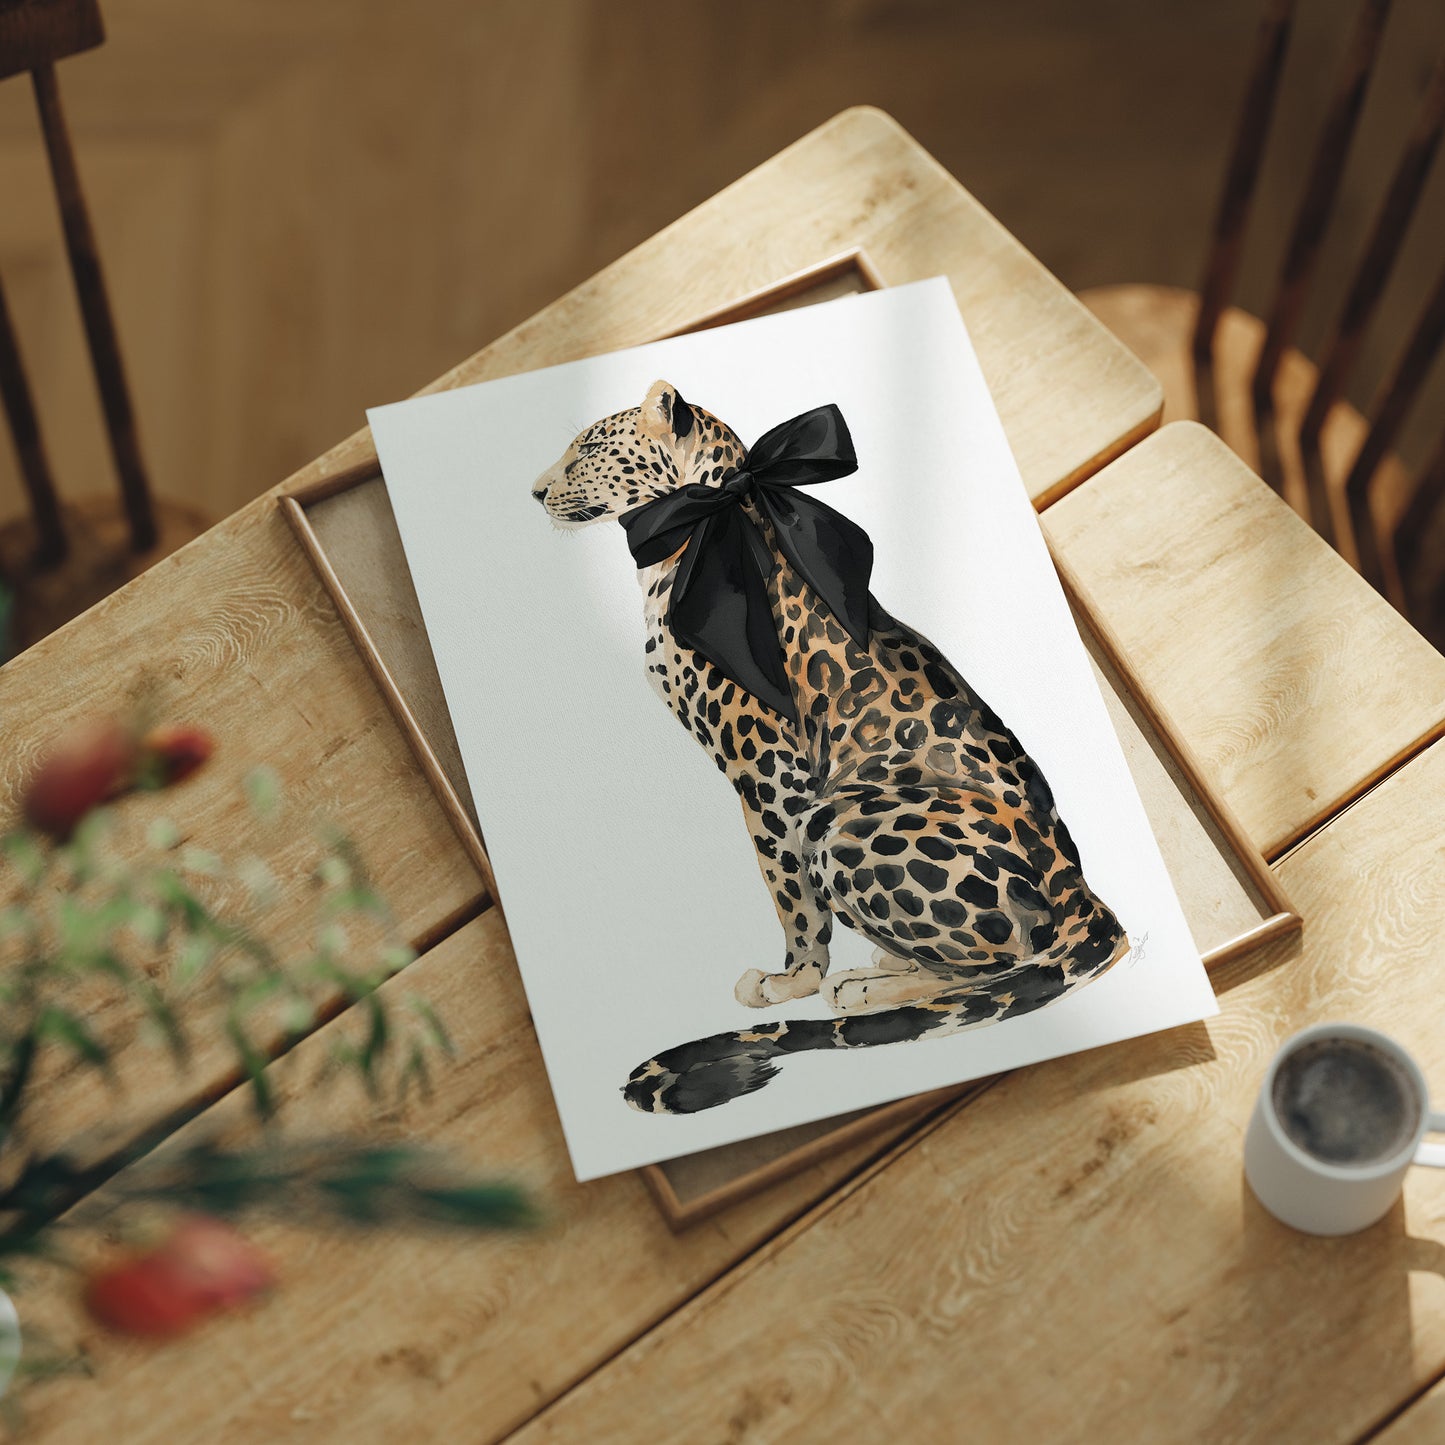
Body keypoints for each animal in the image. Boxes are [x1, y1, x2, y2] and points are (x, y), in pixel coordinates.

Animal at [532, 380, 1127, 1114]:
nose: (534, 490)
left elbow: (790, 894)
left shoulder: (770, 776)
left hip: (841, 820)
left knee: (1008, 962)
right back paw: (887, 964)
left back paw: (866, 989)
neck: (699, 531)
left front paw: (793, 980)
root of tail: (1082, 890)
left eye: (588, 448)